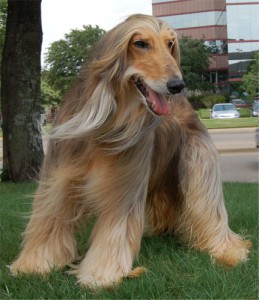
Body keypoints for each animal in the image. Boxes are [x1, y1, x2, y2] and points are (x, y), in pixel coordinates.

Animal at [11, 14, 252, 288]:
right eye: (140, 43)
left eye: (170, 44)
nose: (177, 85)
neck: (106, 125)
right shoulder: (59, 181)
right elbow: (49, 221)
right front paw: (34, 264)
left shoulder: (123, 184)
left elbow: (115, 229)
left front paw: (99, 275)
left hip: (199, 164)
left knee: (208, 210)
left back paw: (228, 250)